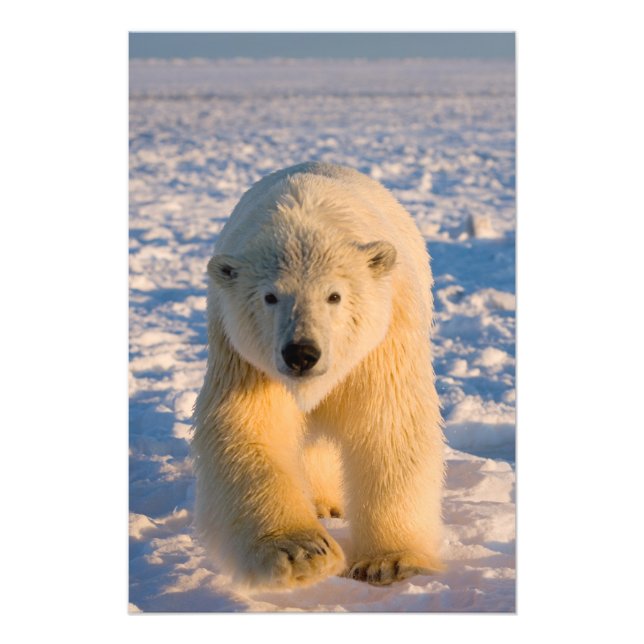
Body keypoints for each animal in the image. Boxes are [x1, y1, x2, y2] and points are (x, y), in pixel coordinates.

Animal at [192, 162, 444, 589]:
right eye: (270, 296)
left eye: (334, 295)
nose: (301, 354)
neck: (306, 218)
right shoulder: (243, 355)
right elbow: (249, 427)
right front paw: (303, 554)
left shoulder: (382, 343)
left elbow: (390, 426)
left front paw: (390, 562)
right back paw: (322, 503)